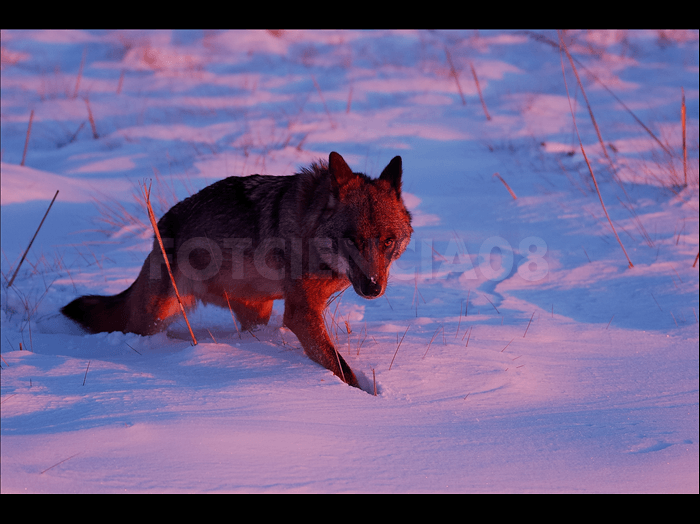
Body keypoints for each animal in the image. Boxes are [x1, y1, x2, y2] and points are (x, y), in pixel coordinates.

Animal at [63, 151, 412, 388]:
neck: (310, 227)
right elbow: (344, 371)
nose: (372, 287)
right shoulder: (301, 313)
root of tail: (160, 228)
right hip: (157, 316)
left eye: (387, 241)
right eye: (352, 240)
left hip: (256, 312)